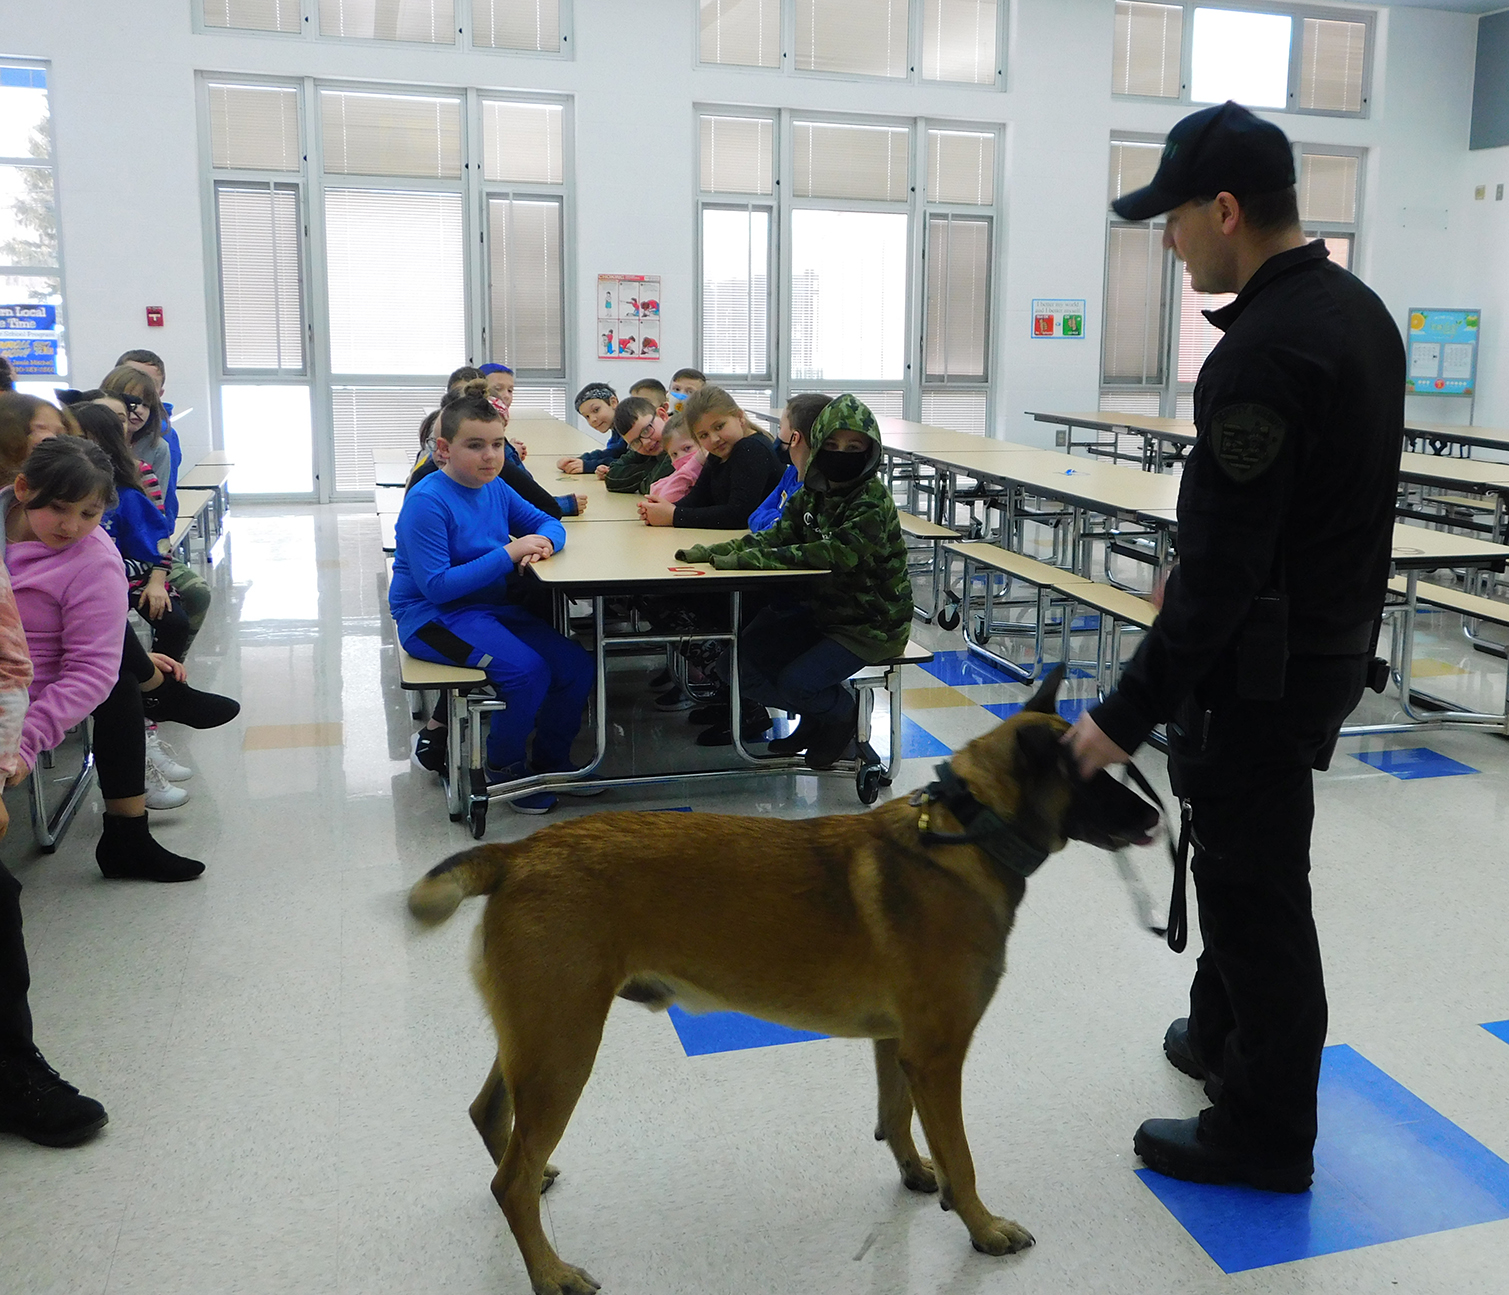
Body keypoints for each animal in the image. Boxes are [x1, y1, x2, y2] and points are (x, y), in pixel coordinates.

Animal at [413, 667, 1152, 1291]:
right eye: (1094, 774)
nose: (1153, 816)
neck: (965, 833)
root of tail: (516, 855)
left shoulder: (900, 1047)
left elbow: (896, 1117)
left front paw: (917, 1172)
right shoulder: (938, 1058)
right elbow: (962, 1157)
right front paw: (982, 1224)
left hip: (538, 1039)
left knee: (492, 1118)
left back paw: (534, 1186)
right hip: (564, 1049)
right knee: (507, 1180)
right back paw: (548, 1269)